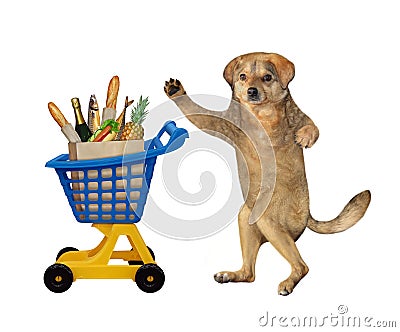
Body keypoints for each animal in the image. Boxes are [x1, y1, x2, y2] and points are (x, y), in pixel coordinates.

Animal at [163, 52, 372, 296]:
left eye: (267, 77)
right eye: (242, 77)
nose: (251, 91)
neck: (261, 114)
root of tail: (308, 215)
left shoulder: (302, 118)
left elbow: (313, 127)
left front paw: (304, 138)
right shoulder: (222, 123)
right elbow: (199, 112)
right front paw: (176, 92)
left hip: (269, 220)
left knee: (302, 266)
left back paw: (288, 282)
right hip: (246, 218)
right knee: (250, 273)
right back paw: (231, 275)